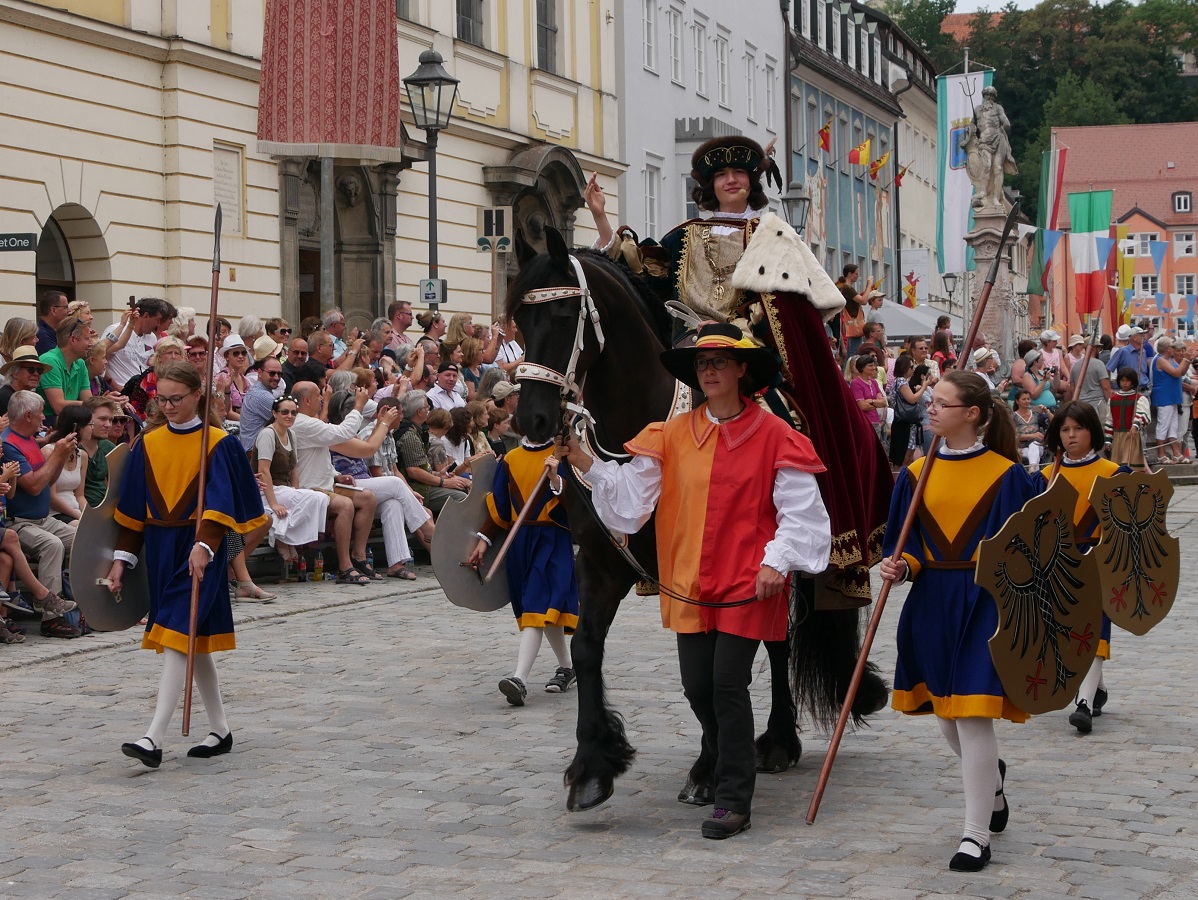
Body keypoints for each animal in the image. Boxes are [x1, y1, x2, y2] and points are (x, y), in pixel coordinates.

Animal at [510, 226, 886, 814]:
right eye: (520, 321)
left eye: (568, 315)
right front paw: (593, 764)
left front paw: (709, 769)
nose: (534, 420)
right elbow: (588, 648)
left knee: (779, 642)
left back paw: (779, 740)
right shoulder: (600, 563)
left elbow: (710, 663)